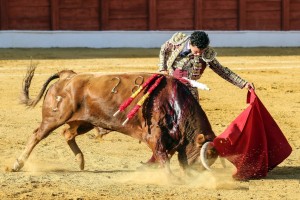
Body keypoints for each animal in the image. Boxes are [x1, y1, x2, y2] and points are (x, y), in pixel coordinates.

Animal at [11, 65, 218, 176]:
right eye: (206, 154)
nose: (198, 175)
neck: (175, 103)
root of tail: (68, 75)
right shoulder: (155, 136)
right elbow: (162, 158)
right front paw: (173, 178)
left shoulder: (173, 141)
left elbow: (162, 157)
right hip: (54, 117)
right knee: (37, 135)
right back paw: (17, 164)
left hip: (84, 122)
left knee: (67, 133)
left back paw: (80, 161)